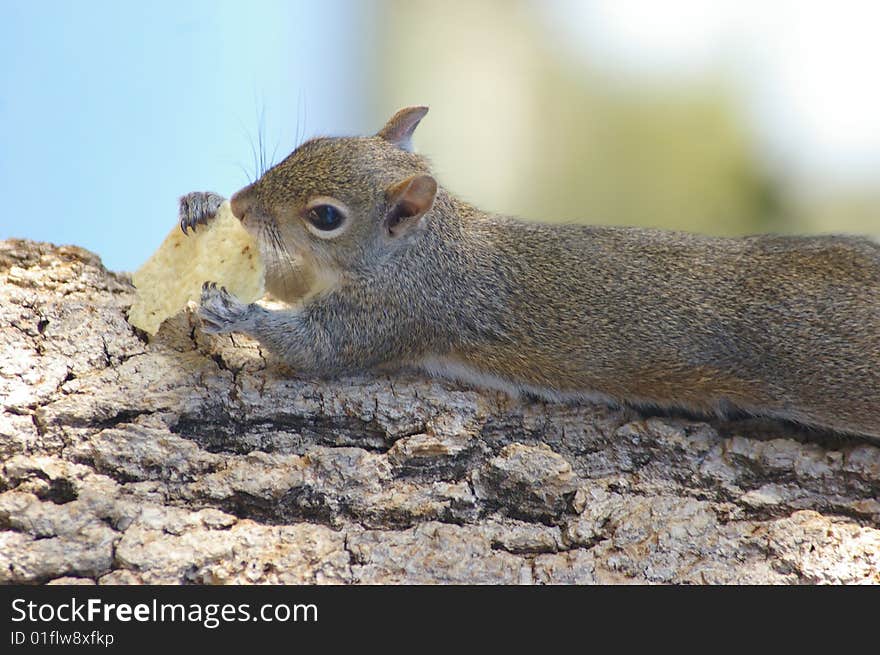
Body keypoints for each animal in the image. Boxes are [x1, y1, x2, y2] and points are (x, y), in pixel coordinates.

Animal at [179, 106, 880, 440]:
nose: (243, 205)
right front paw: (201, 204)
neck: (423, 249)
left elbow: (320, 350)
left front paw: (235, 311)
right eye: (312, 144)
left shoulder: (400, 311)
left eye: (325, 216)